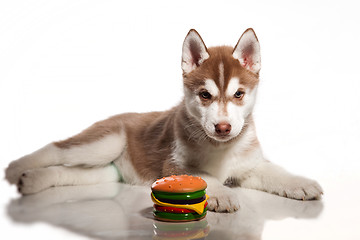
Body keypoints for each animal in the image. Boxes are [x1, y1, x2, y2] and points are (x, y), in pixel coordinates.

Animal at [5, 28, 322, 212]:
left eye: (239, 94)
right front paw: (222, 195)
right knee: (57, 149)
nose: (223, 127)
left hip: (108, 171)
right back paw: (16, 168)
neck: (221, 149)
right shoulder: (173, 165)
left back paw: (31, 181)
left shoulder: (250, 166)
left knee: (67, 171)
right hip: (105, 143)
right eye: (205, 95)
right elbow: (205, 176)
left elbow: (275, 172)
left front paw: (302, 183)